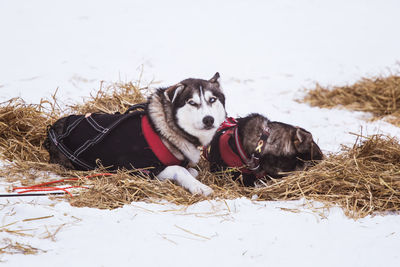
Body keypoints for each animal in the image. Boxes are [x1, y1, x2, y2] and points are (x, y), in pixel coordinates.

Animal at [45, 73, 227, 197]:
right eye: (192, 103)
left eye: (212, 100)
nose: (208, 119)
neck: (163, 130)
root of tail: (53, 130)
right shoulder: (136, 167)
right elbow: (179, 169)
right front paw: (199, 186)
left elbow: (190, 170)